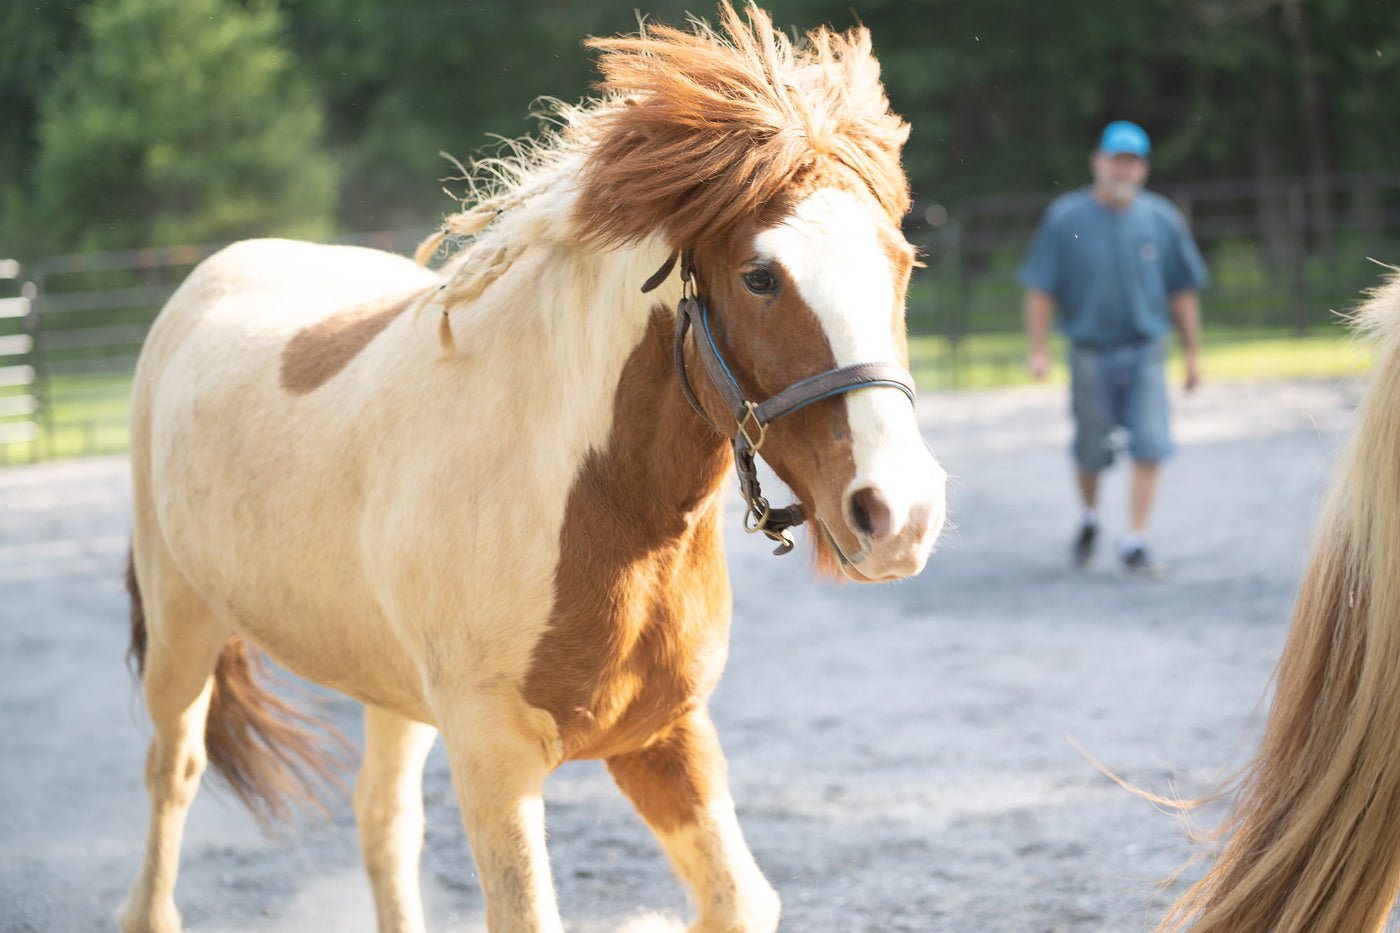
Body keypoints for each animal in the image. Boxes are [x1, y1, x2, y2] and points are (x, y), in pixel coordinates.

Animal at [116, 5, 947, 932]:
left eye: (902, 264)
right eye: (760, 276)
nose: (901, 516)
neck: (594, 508)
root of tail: (216, 273)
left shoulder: (665, 733)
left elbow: (740, 898)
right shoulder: (494, 755)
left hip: (389, 689)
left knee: (382, 821)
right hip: (183, 625)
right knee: (172, 777)